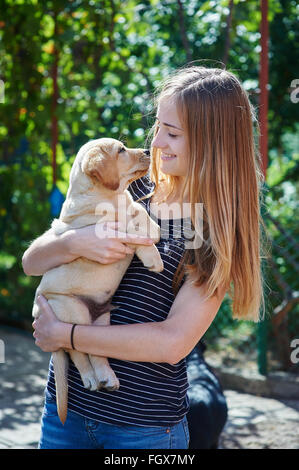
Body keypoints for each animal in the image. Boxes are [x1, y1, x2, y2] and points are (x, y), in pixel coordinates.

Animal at [32, 138, 164, 424]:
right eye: (121, 151)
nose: (147, 151)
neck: (110, 197)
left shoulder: (130, 205)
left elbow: (138, 211)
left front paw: (154, 229)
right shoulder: (105, 233)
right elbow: (132, 231)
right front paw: (152, 255)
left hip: (101, 320)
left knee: (95, 349)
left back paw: (107, 377)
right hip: (73, 310)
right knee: (77, 350)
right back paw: (92, 379)